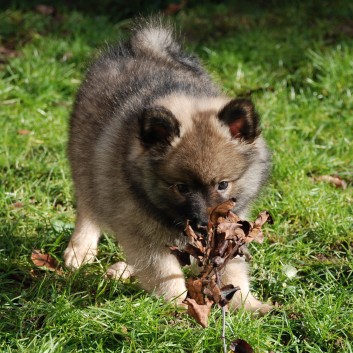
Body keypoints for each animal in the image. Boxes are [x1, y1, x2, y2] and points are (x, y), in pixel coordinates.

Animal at [63, 17, 270, 314]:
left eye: (222, 184)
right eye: (181, 188)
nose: (203, 225)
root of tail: (145, 47)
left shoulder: (228, 231)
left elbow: (232, 272)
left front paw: (250, 306)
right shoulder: (142, 232)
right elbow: (164, 274)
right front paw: (182, 307)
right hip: (85, 166)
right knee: (88, 208)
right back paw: (80, 250)